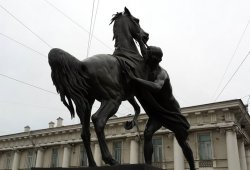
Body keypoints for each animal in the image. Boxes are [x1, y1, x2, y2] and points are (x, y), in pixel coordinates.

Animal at [48, 7, 148, 166]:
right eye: (136, 20)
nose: (146, 36)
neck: (129, 54)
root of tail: (82, 64)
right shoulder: (137, 89)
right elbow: (142, 108)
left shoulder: (128, 93)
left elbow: (137, 107)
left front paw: (130, 123)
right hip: (112, 99)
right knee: (98, 120)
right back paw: (110, 159)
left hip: (87, 104)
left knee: (85, 132)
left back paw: (93, 163)